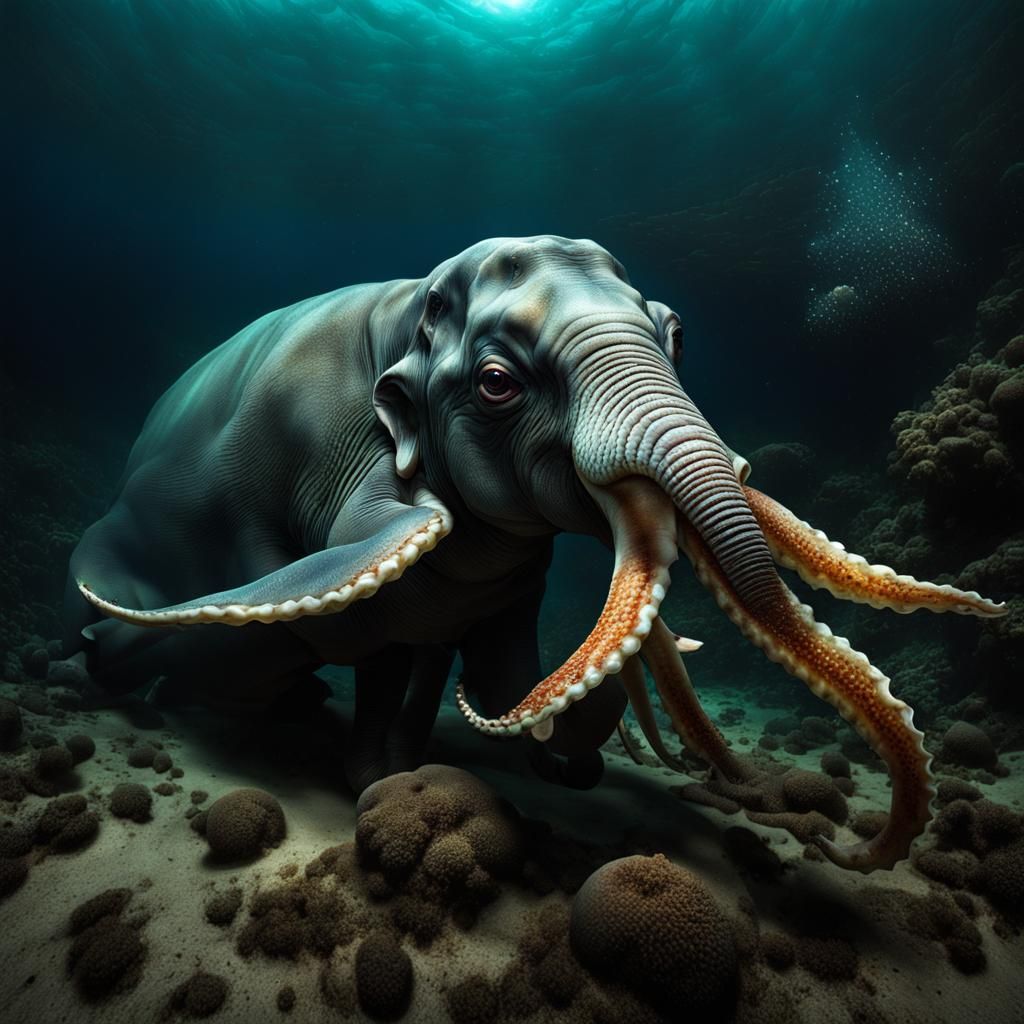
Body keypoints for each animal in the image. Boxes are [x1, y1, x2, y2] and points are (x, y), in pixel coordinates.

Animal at [66, 235, 1006, 873]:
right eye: (496, 384)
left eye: (677, 332)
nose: (846, 849)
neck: (407, 316)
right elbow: (361, 584)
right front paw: (387, 775)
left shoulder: (500, 587)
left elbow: (489, 665)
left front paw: (516, 759)